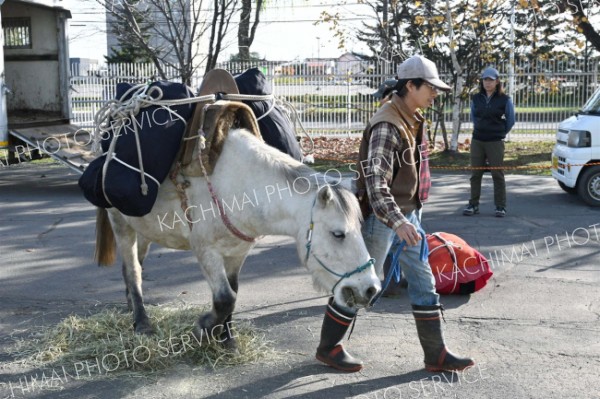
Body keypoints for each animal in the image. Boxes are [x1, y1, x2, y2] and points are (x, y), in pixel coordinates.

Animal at [96, 130, 382, 348]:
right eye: (338, 234)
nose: (371, 289)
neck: (241, 185)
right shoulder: (205, 251)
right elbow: (225, 298)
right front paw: (203, 329)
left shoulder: (237, 252)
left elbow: (234, 292)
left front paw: (227, 338)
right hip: (121, 223)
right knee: (132, 270)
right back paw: (142, 322)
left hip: (144, 229)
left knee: (135, 266)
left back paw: (132, 306)